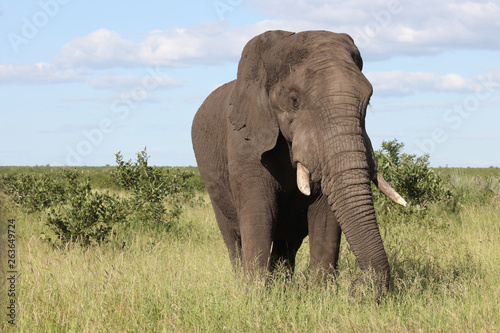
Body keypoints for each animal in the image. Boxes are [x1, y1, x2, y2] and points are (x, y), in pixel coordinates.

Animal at [191, 29, 406, 292]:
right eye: (294, 100)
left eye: (368, 100)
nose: (358, 284)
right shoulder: (244, 139)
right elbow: (258, 214)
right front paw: (255, 295)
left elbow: (326, 217)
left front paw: (322, 294)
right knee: (233, 239)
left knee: (287, 242)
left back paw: (283, 286)